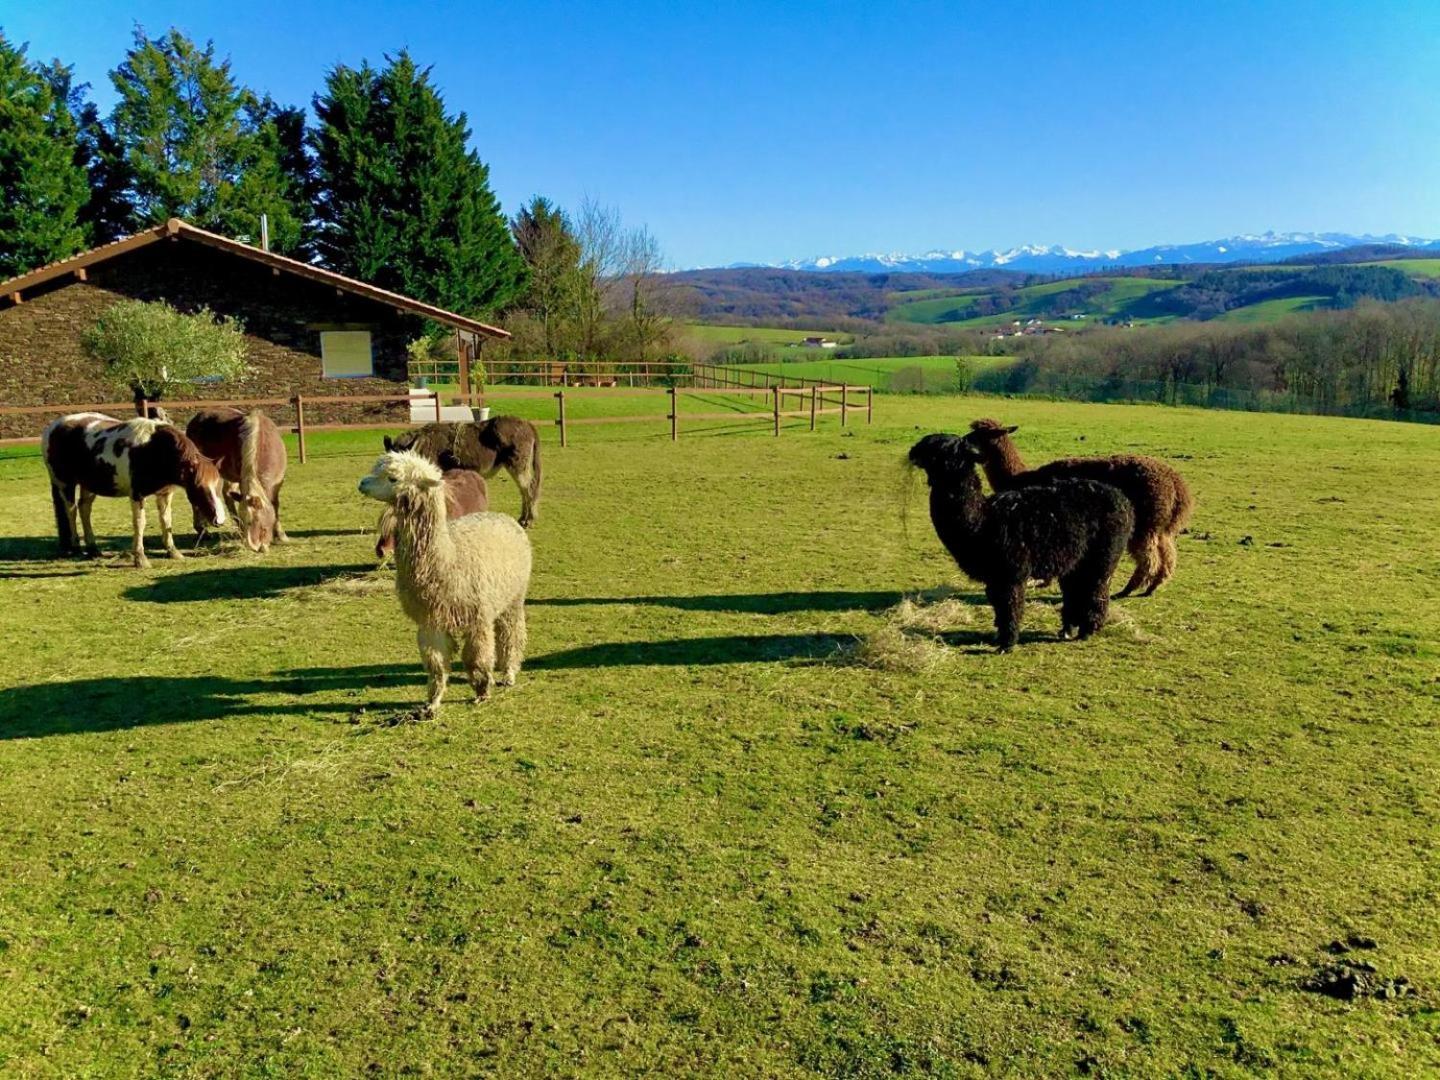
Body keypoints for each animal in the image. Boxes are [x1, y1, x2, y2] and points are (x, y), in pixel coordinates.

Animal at [40, 408, 227, 570]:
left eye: (219, 487)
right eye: (199, 488)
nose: (219, 520)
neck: (153, 449)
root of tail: (53, 427)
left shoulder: (165, 494)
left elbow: (166, 521)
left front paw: (173, 552)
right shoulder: (137, 495)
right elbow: (140, 524)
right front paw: (140, 559)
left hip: (89, 485)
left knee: (84, 509)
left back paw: (93, 548)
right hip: (65, 483)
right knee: (70, 511)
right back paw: (76, 547)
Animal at [184, 408, 288, 552]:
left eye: (256, 520)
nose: (254, 547)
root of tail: (196, 418)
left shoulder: (276, 485)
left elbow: (275, 505)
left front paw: (281, 535)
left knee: (226, 494)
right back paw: (202, 531)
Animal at [383, 414, 541, 529]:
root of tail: (527, 424)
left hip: (517, 465)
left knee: (529, 489)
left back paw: (529, 520)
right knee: (524, 490)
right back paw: (523, 518)